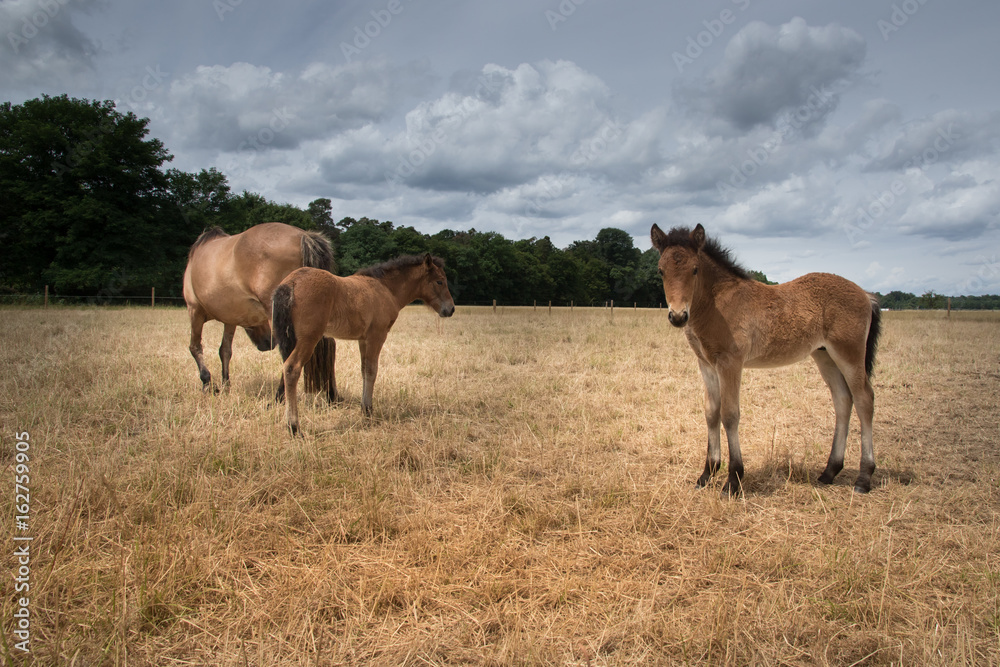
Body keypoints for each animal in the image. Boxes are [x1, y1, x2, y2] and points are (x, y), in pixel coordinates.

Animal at [272, 253, 456, 436]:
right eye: (440, 281)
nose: (451, 309)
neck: (386, 289)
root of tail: (291, 282)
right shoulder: (377, 336)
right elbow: (372, 370)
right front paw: (368, 410)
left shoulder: (363, 339)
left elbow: (363, 370)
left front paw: (364, 408)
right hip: (309, 338)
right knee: (291, 368)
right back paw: (294, 427)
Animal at [652, 224, 880, 496]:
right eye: (661, 270)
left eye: (695, 269)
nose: (678, 316)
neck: (717, 303)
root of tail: (866, 294)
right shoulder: (706, 364)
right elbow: (711, 412)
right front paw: (707, 474)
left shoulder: (730, 362)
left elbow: (729, 414)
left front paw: (733, 480)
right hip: (825, 355)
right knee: (843, 400)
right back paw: (829, 472)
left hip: (849, 353)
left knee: (864, 398)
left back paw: (864, 478)